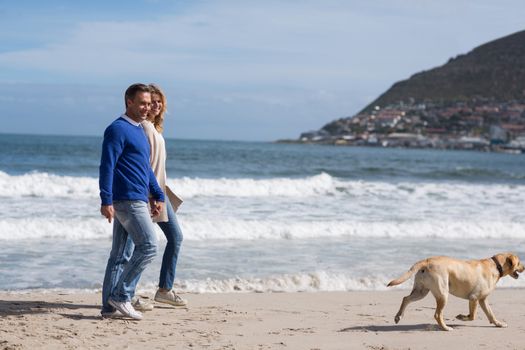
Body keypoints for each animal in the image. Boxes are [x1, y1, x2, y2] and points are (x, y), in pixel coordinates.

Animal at [386, 252, 520, 330]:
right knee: (437, 314)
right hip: (443, 294)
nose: (523, 267)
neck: (496, 266)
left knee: (406, 298)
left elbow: (491, 314)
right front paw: (462, 317)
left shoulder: (483, 300)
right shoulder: (474, 298)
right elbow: (472, 316)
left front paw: (499, 324)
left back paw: (398, 316)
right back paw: (446, 328)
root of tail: (427, 260)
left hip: (421, 291)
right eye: (519, 263)